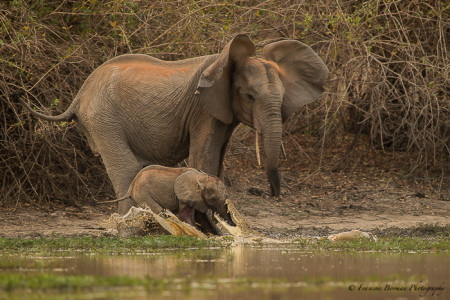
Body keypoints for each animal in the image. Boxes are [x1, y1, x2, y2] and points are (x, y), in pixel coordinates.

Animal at [14, 34, 328, 213]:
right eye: (250, 96)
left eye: (284, 97)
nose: (273, 194)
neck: (225, 62)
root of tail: (79, 95)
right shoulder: (203, 109)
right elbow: (205, 156)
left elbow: (218, 159)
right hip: (103, 118)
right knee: (125, 167)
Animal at [101, 164, 232, 227]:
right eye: (213, 199)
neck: (202, 178)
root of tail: (133, 183)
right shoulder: (183, 195)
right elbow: (185, 216)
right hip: (142, 193)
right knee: (158, 210)